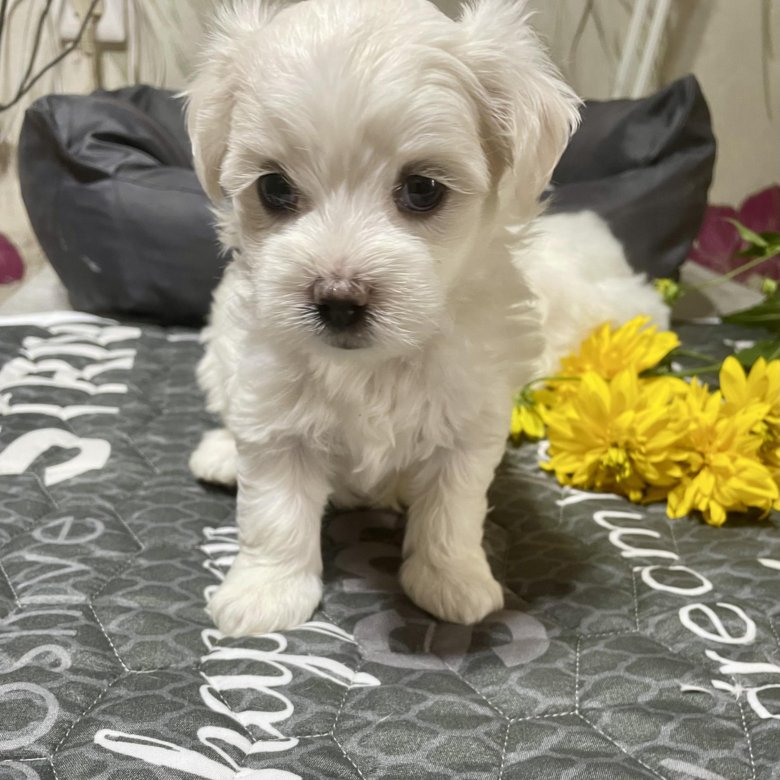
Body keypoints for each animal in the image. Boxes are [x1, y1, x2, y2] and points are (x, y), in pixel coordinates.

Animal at [186, 0, 669, 637]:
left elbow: (453, 510)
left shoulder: (469, 425)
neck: (376, 362)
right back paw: (220, 452)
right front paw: (267, 593)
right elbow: (274, 511)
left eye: (422, 189)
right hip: (221, 356)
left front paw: (453, 582)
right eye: (274, 188)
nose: (338, 297)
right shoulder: (274, 413)